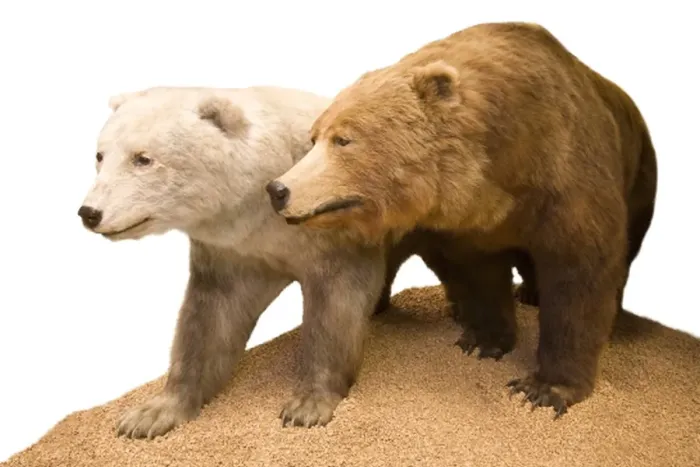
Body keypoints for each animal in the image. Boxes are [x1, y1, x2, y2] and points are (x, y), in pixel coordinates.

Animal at [77, 85, 395, 438]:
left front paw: (307, 405)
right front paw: (150, 415)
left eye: (143, 158)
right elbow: (211, 318)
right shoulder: (235, 251)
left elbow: (336, 304)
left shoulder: (332, 228)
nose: (90, 213)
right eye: (100, 155)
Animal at [266, 21, 658, 417]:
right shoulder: (469, 222)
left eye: (343, 139)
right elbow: (478, 273)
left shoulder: (566, 178)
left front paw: (544, 388)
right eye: (314, 137)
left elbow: (579, 275)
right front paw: (485, 340)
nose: (278, 189)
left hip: (640, 174)